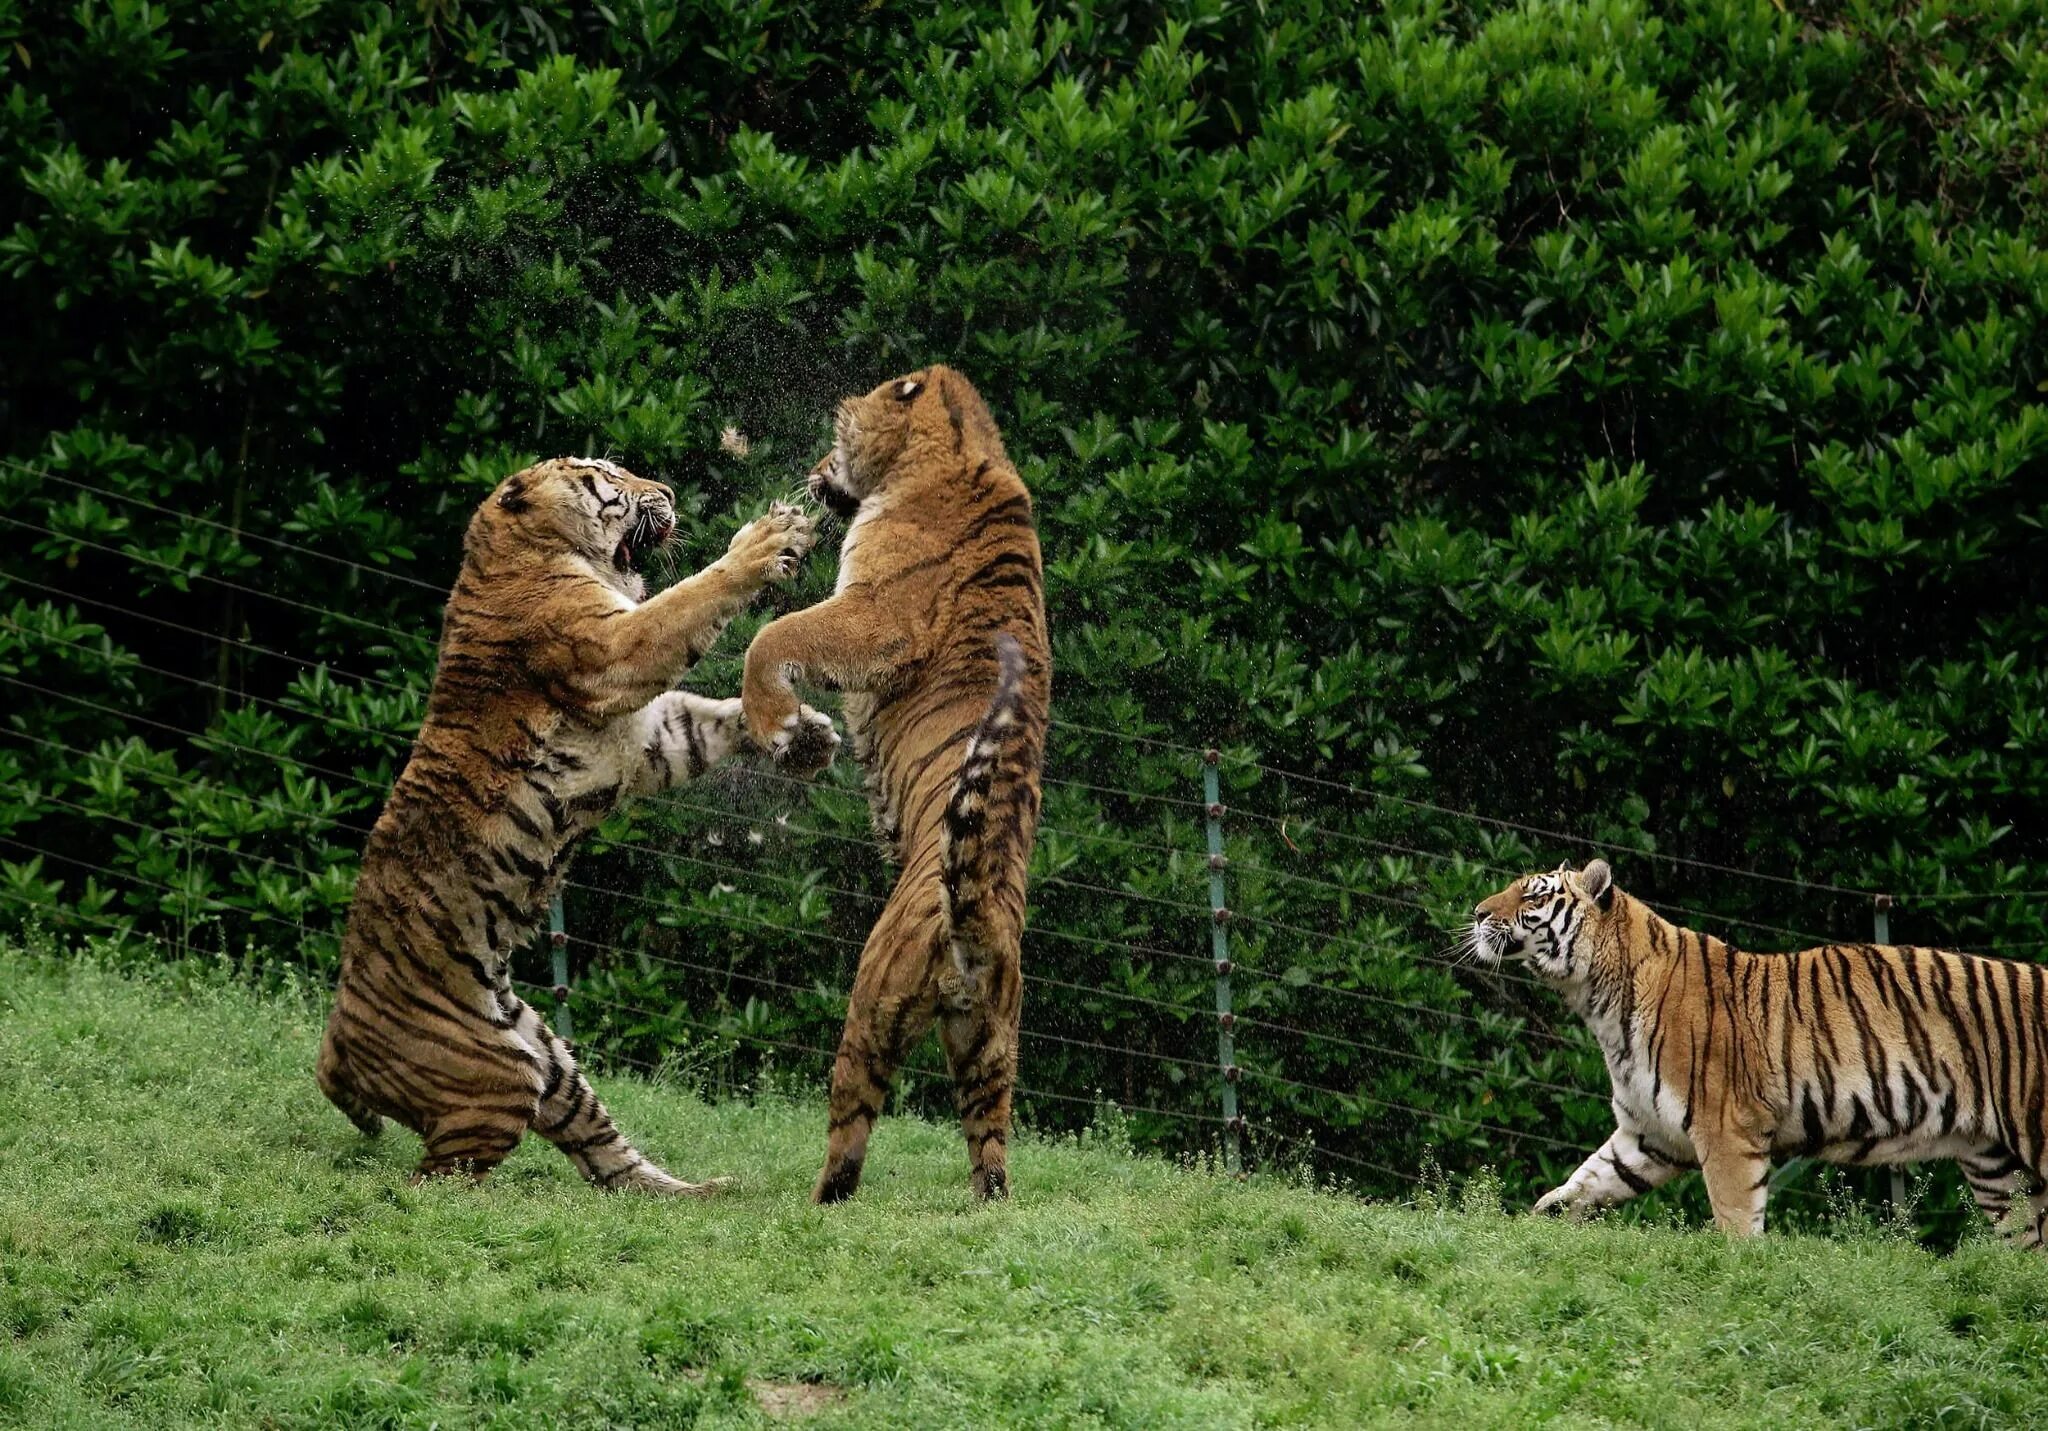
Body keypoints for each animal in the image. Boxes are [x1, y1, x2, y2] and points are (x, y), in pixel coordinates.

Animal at [315, 456, 835, 1187]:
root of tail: (332, 1044)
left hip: (552, 1058)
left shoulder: (653, 741)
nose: (667, 492)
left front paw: (807, 734)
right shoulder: (616, 650)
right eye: (610, 474)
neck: (530, 553)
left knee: (610, 1162)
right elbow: (692, 597)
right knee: (435, 1180)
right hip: (495, 1080)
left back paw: (707, 1191)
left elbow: (711, 716)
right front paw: (766, 539)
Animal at [741, 364, 1056, 1203]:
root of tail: (978, 923)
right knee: (993, 1156)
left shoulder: (874, 614)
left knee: (850, 1130)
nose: (817, 469)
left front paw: (778, 725)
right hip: (989, 1046)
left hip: (873, 1004)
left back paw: (818, 1201)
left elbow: (772, 637)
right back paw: (985, 1205)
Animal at [1482, 855, 2048, 1244]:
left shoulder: (1726, 1129)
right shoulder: (1650, 1134)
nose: (1478, 911)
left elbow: (1735, 1220)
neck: (1597, 1000)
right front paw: (1537, 1223)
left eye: (1532, 897)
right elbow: (1587, 1182)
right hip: (1999, 1171)